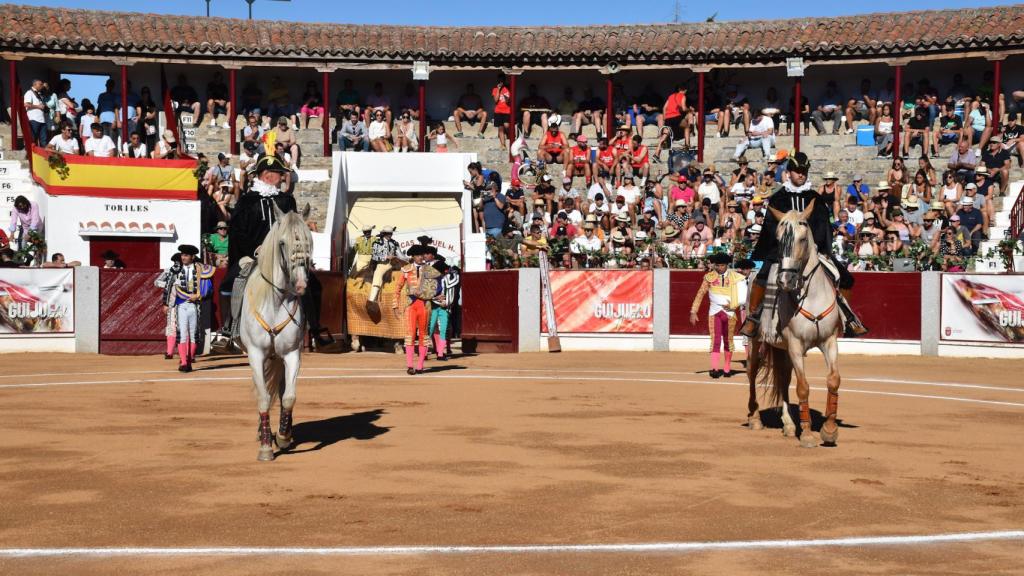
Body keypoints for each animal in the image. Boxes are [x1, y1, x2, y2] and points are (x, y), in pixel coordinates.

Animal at [238, 202, 311, 461]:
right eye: (282, 243)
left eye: (309, 240)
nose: (301, 284)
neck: (276, 302)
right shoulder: (255, 354)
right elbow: (263, 397)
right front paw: (266, 447)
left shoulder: (291, 354)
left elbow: (288, 396)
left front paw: (283, 436)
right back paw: (264, 433)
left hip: (278, 358)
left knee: (280, 392)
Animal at [745, 199, 839, 446]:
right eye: (778, 241)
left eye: (803, 239)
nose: (785, 280)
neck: (811, 296)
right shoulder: (796, 345)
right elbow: (803, 387)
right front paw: (807, 434)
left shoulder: (829, 341)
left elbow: (833, 380)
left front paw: (829, 429)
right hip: (757, 341)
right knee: (752, 372)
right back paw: (754, 418)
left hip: (782, 348)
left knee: (784, 378)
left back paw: (788, 425)